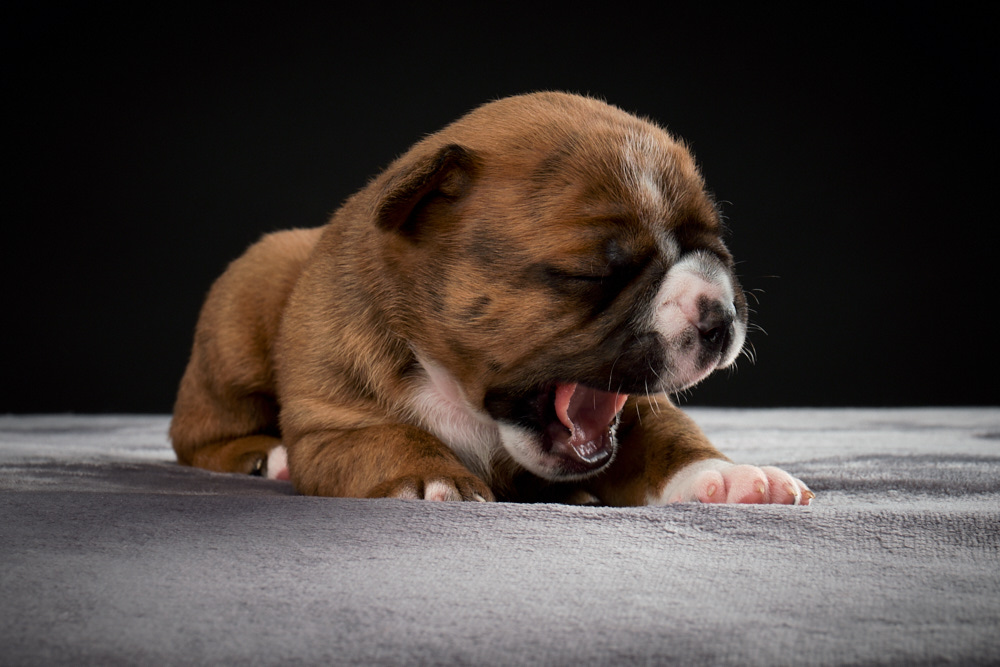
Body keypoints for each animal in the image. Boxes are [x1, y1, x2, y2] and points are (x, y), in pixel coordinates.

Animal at [172, 90, 812, 506]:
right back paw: (269, 458)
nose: (720, 316)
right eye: (591, 275)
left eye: (717, 248)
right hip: (237, 339)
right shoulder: (337, 428)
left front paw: (729, 478)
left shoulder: (635, 410)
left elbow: (674, 442)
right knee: (197, 437)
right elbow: (389, 440)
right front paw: (433, 478)